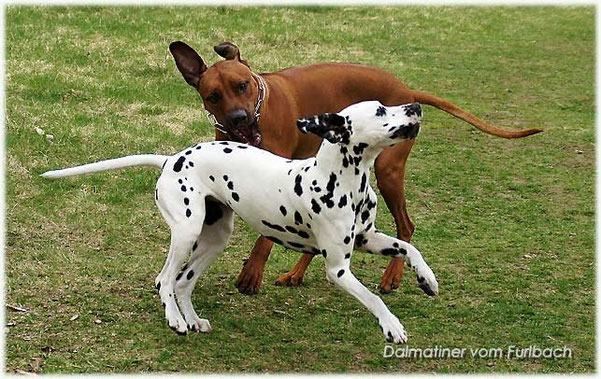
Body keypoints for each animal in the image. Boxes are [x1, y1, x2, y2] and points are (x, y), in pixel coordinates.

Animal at [42, 100, 436, 344]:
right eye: (381, 110)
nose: (416, 107)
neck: (341, 180)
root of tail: (171, 159)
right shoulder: (337, 269)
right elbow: (373, 297)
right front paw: (392, 326)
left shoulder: (368, 239)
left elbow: (409, 247)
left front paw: (427, 279)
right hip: (186, 232)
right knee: (165, 279)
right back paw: (175, 319)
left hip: (215, 238)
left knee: (183, 282)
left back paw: (192, 319)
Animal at [168, 42, 540, 296]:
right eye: (213, 96)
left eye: (242, 85)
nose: (239, 119)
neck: (263, 106)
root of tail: (405, 89)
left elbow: (264, 238)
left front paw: (252, 272)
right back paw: (298, 273)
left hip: (389, 173)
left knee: (406, 225)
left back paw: (392, 276)